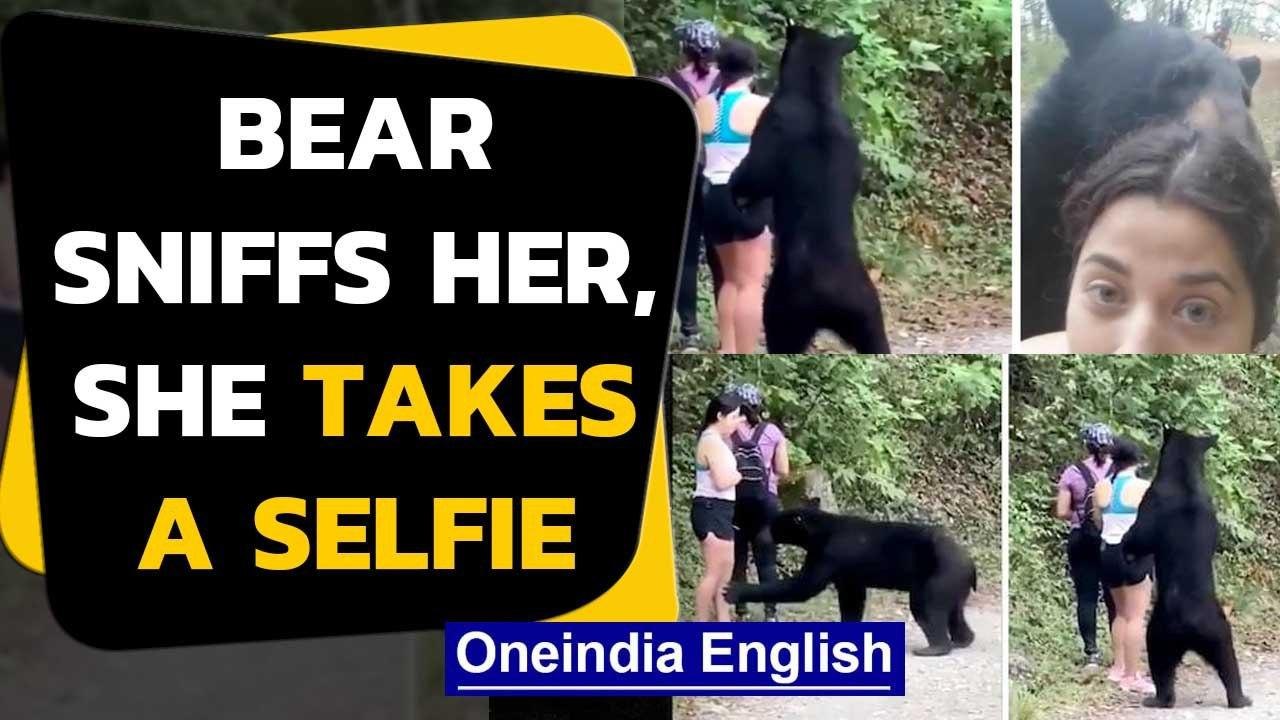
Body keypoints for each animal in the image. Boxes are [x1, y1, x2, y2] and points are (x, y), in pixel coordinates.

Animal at [725, 498, 976, 657]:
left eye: (773, 524)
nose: (759, 535)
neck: (820, 532)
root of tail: (970, 563)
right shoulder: (847, 571)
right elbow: (852, 598)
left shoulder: (830, 553)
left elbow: (804, 586)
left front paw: (734, 590)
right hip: (953, 583)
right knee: (954, 612)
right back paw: (963, 639)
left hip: (940, 575)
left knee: (926, 607)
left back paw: (934, 647)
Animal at [728, 24, 891, 354]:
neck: (815, 95)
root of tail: (829, 299)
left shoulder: (772, 123)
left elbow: (756, 172)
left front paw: (736, 187)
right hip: (867, 312)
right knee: (877, 340)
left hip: (783, 307)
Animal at [1121, 426, 1250, 709]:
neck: (1184, 477)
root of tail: (1192, 627)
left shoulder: (1152, 501)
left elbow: (1140, 536)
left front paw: (1127, 550)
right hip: (1220, 633)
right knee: (1229, 663)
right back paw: (1240, 698)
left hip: (1160, 631)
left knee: (1159, 662)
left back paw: (1158, 699)